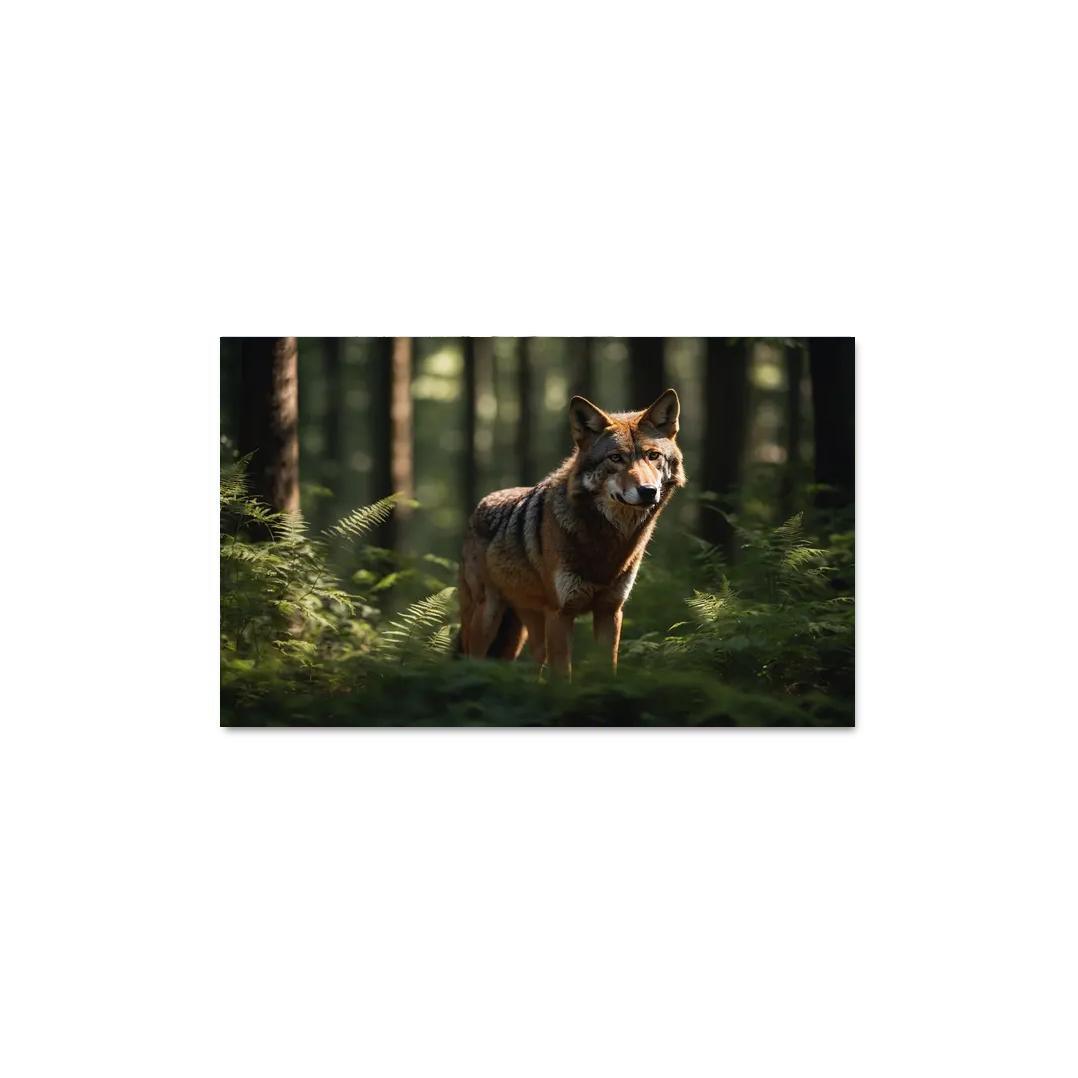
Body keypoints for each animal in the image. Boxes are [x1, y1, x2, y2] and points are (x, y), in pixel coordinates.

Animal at [458, 388, 685, 676]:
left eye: (653, 456)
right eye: (616, 458)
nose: (648, 491)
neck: (606, 545)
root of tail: (480, 504)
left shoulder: (610, 611)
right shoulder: (561, 613)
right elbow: (563, 676)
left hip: (524, 630)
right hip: (487, 618)